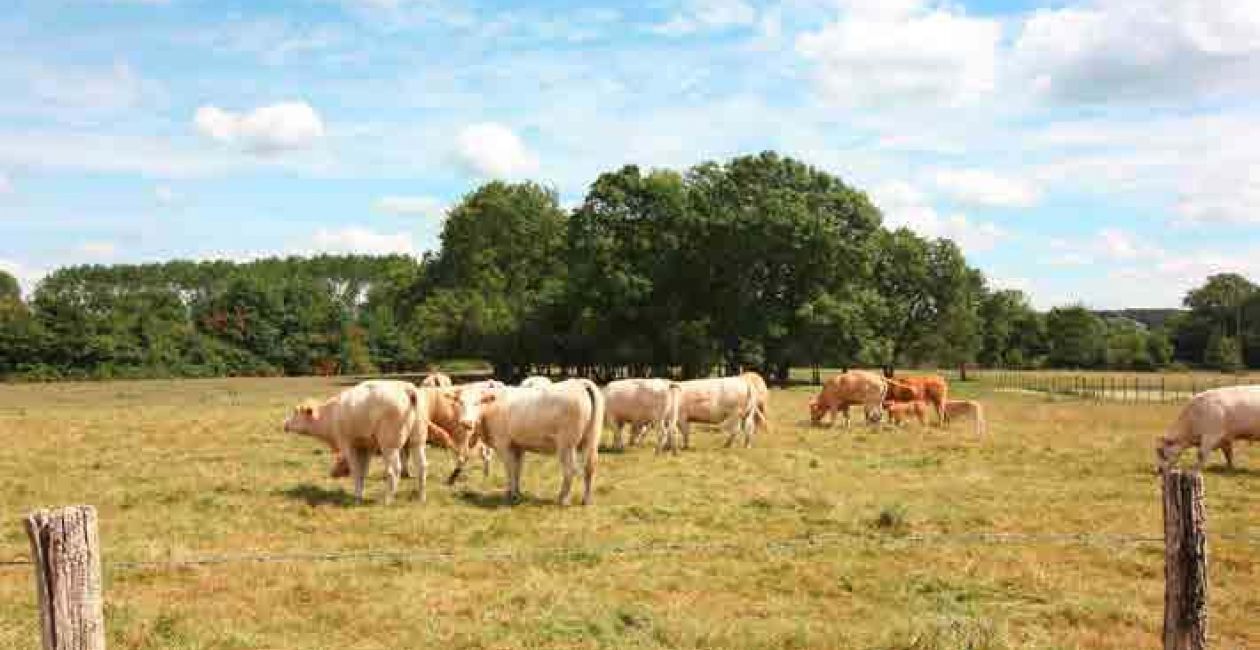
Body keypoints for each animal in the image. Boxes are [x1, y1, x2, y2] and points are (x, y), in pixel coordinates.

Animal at [284, 380, 430, 505]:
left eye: (296, 412)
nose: (285, 423)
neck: (332, 413)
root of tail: (406, 388)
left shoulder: (349, 446)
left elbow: (356, 471)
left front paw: (357, 497)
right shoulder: (366, 447)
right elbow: (363, 471)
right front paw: (360, 494)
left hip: (390, 446)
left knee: (394, 470)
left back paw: (387, 500)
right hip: (417, 441)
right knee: (421, 467)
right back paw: (421, 498)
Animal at [447, 379, 604, 506]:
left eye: (478, 402)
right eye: (460, 402)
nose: (466, 423)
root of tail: (580, 382)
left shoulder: (503, 444)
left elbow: (510, 469)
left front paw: (510, 494)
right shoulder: (518, 446)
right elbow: (518, 469)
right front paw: (517, 492)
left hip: (566, 444)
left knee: (570, 469)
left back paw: (563, 499)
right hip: (591, 439)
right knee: (590, 467)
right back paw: (586, 500)